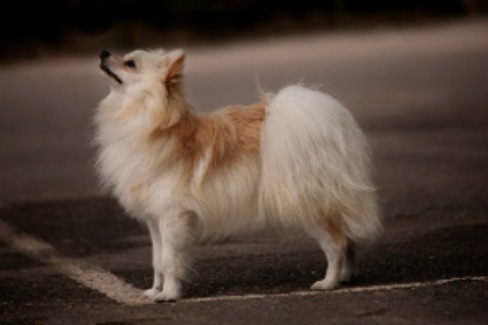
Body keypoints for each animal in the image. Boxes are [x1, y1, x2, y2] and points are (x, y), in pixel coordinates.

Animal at [92, 48, 382, 302]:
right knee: (348, 240)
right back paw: (346, 277)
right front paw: (155, 291)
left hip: (308, 208)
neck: (142, 119)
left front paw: (169, 294)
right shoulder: (155, 220)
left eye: (130, 63)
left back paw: (329, 282)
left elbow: (169, 260)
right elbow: (156, 261)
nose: (103, 52)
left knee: (336, 244)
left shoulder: (172, 218)